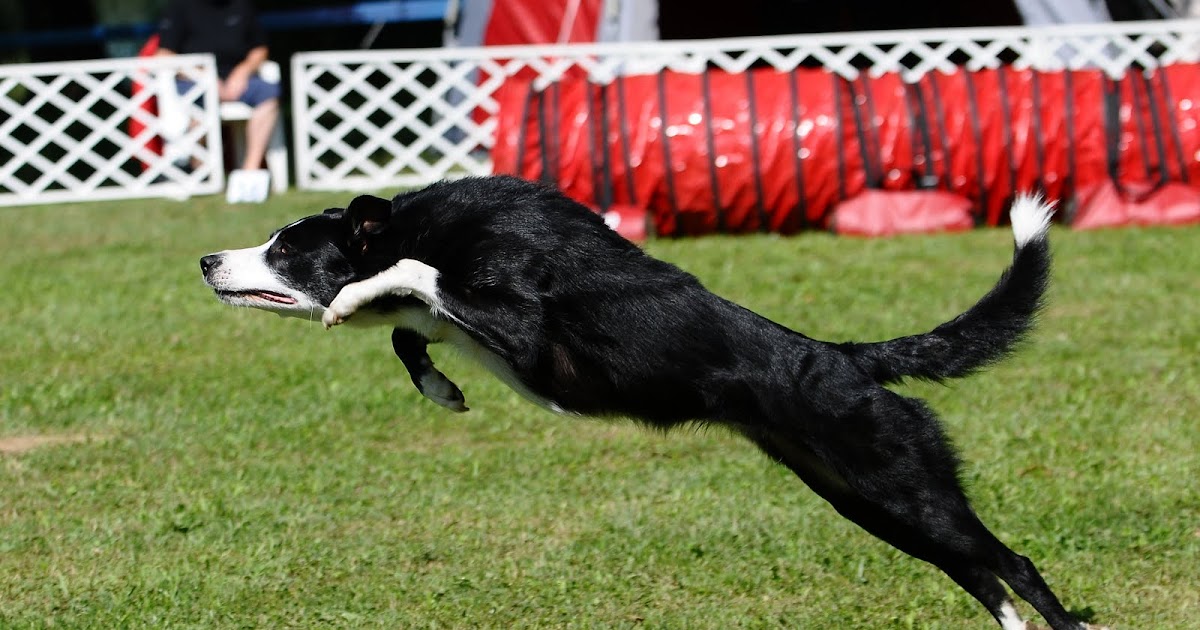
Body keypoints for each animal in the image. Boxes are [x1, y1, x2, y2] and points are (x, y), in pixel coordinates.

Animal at [201, 172, 1099, 628]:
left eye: (286, 250)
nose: (207, 260)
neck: (418, 222)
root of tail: (846, 359)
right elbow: (410, 329)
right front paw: (442, 389)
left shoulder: (528, 333)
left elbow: (412, 277)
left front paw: (356, 300)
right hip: (864, 501)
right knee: (982, 577)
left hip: (907, 485)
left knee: (1013, 564)